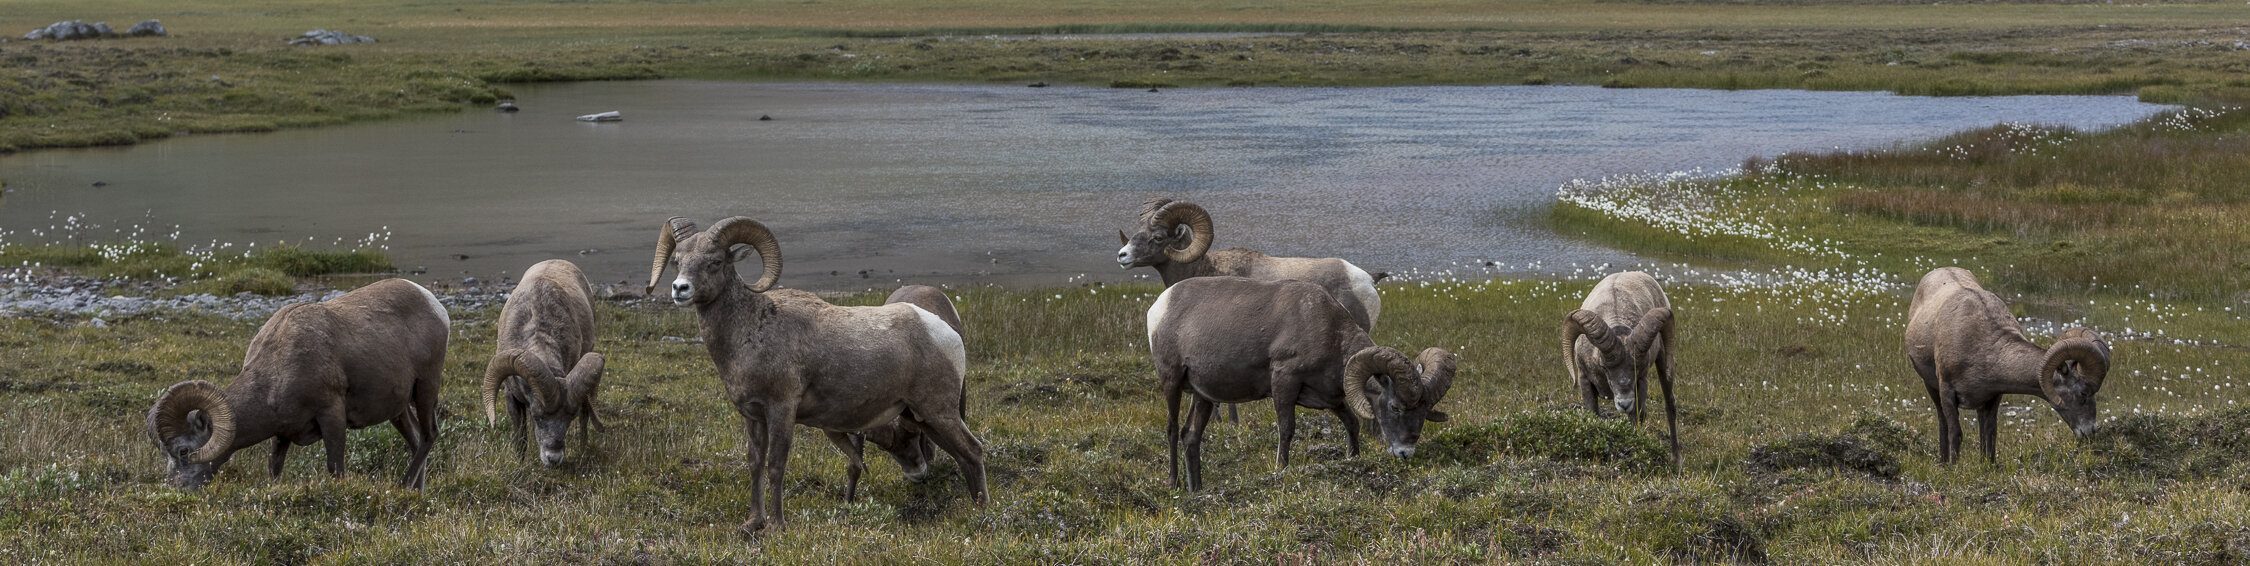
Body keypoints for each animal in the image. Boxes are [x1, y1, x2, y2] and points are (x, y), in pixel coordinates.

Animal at [144, 278, 448, 489]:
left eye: (183, 451)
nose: (176, 489)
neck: (279, 366)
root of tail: (434, 305)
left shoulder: (332, 415)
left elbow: (335, 468)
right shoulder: (282, 434)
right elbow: (274, 468)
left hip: (426, 388)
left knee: (429, 436)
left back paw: (404, 485)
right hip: (399, 409)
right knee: (416, 441)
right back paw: (415, 492)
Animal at [647, 216, 985, 534]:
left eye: (715, 262)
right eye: (678, 261)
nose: (680, 289)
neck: (751, 329)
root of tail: (945, 332)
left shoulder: (781, 411)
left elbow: (775, 466)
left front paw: (776, 526)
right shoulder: (753, 416)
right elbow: (755, 464)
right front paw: (752, 523)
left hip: (938, 411)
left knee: (973, 450)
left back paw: (982, 511)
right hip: (922, 417)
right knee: (960, 455)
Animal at [1148, 276, 1456, 490]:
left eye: (1423, 413)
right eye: (1394, 407)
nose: (1405, 453)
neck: (1327, 330)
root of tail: (1159, 307)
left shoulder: (1331, 397)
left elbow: (1351, 423)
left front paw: (1353, 458)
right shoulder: (1284, 382)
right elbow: (1287, 429)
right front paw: (1280, 470)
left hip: (1204, 396)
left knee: (1191, 436)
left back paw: (1197, 489)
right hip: (1171, 382)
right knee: (1172, 430)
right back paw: (1173, 484)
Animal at [1562, 271, 1680, 465]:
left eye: (1637, 367)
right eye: (1604, 366)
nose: (1624, 404)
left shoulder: (1641, 383)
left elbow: (1636, 418)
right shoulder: (1585, 381)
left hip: (1664, 364)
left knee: (1669, 405)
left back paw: (1676, 461)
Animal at [1905, 267, 2111, 464]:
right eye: (2083, 394)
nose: (2090, 432)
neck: (1981, 347)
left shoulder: (1992, 398)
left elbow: (1989, 432)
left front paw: (1987, 465)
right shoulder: (1948, 392)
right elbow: (1955, 433)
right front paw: (1953, 467)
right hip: (1931, 387)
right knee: (1942, 422)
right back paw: (1943, 462)